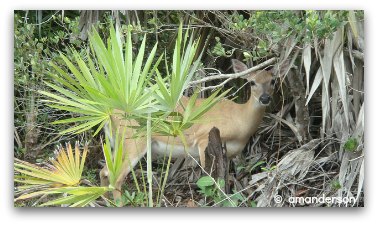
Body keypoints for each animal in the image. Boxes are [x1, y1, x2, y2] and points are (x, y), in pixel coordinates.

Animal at [99, 59, 274, 201]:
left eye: (273, 81)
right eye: (252, 82)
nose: (265, 98)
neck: (240, 121)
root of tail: (109, 114)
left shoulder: (230, 153)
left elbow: (225, 179)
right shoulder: (204, 138)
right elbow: (210, 179)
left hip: (118, 143)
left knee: (105, 171)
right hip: (134, 140)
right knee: (116, 177)